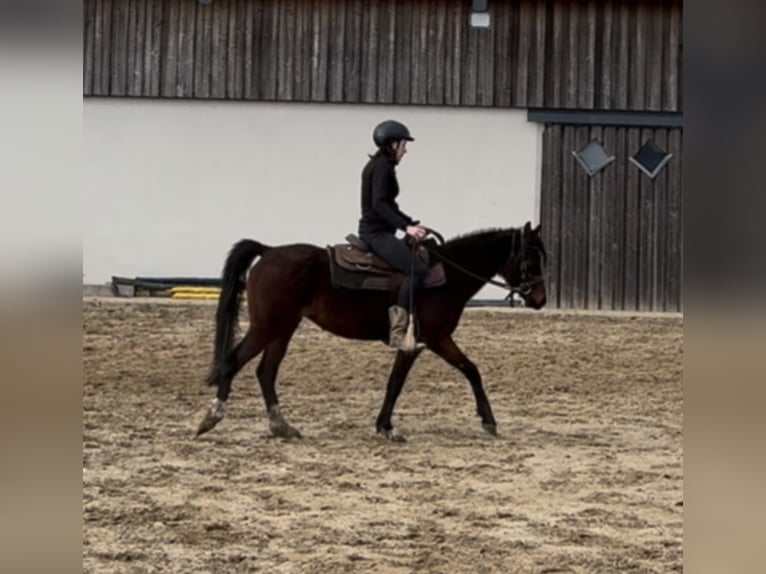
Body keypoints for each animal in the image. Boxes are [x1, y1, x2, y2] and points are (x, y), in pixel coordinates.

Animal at [195, 223, 548, 444]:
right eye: (531, 258)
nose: (540, 299)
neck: (447, 276)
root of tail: (268, 251)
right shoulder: (432, 339)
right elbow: (460, 371)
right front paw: (488, 420)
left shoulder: (422, 343)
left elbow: (401, 381)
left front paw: (384, 426)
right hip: (267, 326)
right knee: (233, 362)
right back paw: (211, 417)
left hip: (283, 329)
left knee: (265, 371)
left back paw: (281, 426)